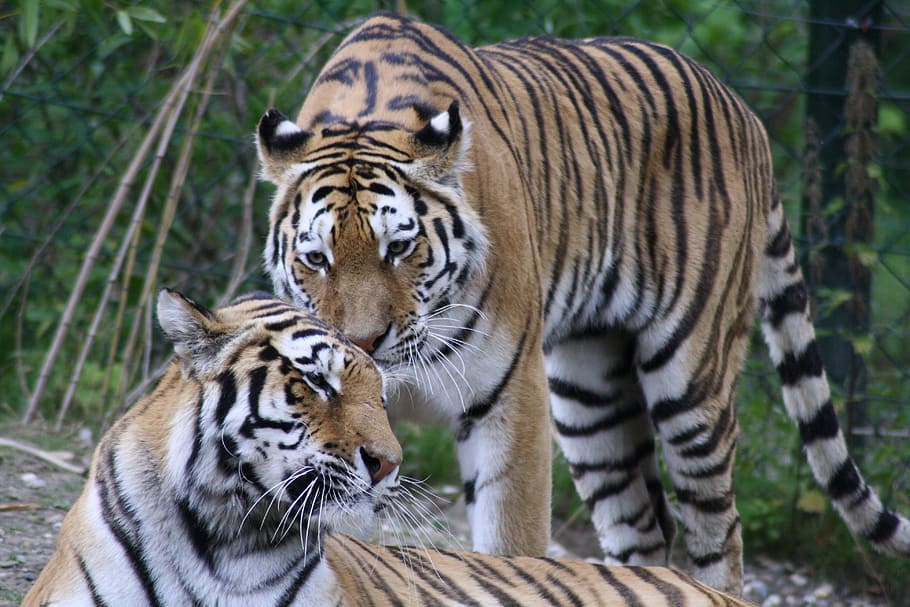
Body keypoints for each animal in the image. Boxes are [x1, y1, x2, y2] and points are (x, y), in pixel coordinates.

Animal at [254, 11, 910, 595]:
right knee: (643, 526)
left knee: (717, 530)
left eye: (399, 247)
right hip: (589, 395)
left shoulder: (509, 400)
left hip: (691, 383)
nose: (362, 343)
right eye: (316, 258)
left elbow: (509, 548)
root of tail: (746, 114)